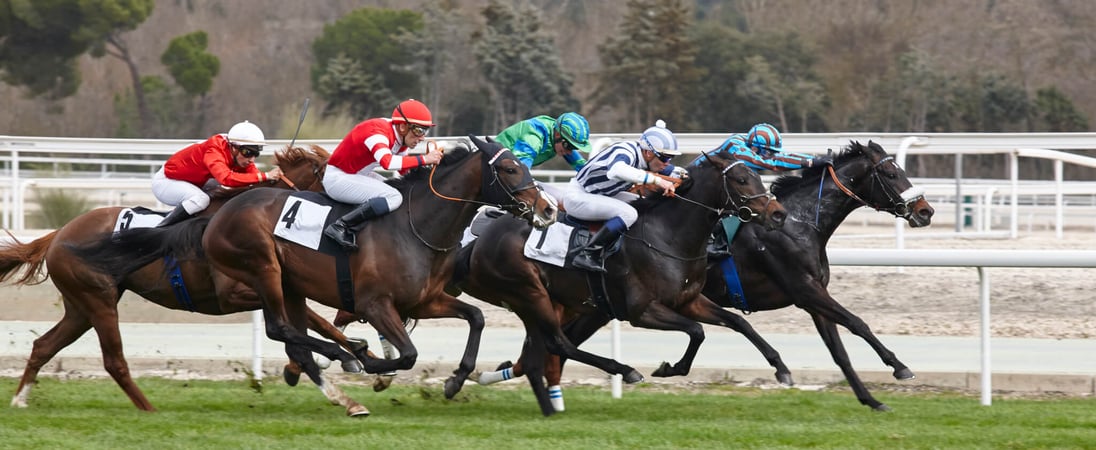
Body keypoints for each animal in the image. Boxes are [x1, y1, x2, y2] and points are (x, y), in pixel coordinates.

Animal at [0, 146, 363, 413]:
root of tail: (59, 234)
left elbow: (317, 322)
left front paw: (355, 352)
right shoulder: (234, 294)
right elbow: (302, 322)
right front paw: (318, 363)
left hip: (80, 307)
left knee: (44, 345)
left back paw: (20, 400)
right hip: (98, 301)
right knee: (114, 361)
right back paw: (149, 410)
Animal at [451, 151, 789, 416]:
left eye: (757, 176)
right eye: (742, 180)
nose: (779, 214)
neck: (667, 235)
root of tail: (481, 240)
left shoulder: (689, 300)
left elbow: (738, 323)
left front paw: (782, 370)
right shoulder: (642, 311)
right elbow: (697, 331)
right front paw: (670, 368)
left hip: (536, 301)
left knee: (542, 351)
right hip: (529, 293)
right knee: (559, 343)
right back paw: (625, 370)